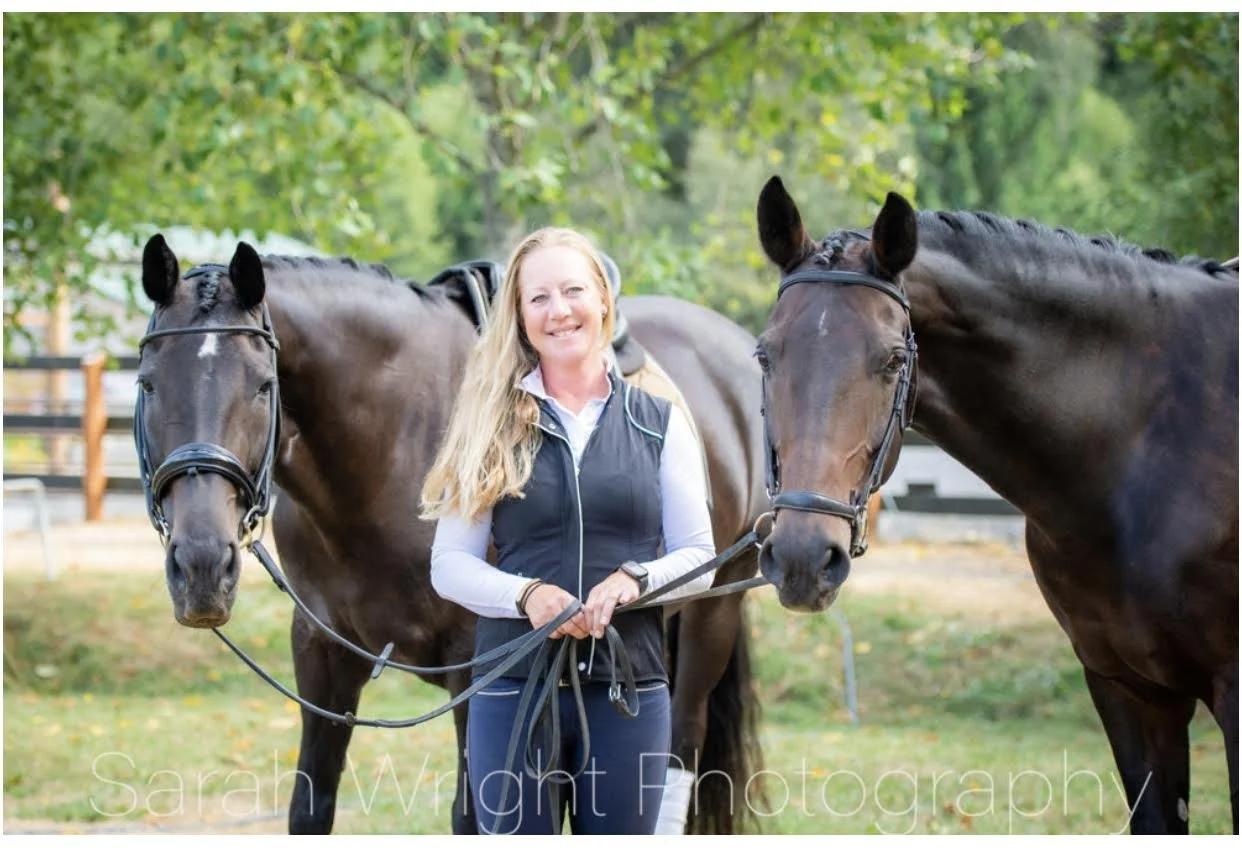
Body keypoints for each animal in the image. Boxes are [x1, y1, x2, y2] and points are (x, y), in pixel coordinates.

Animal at [132, 235, 767, 834]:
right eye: (147, 385)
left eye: (265, 386)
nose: (201, 567)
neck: (389, 448)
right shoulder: (320, 651)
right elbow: (310, 808)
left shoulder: (478, 664)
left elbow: (473, 815)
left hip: (714, 611)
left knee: (679, 749)